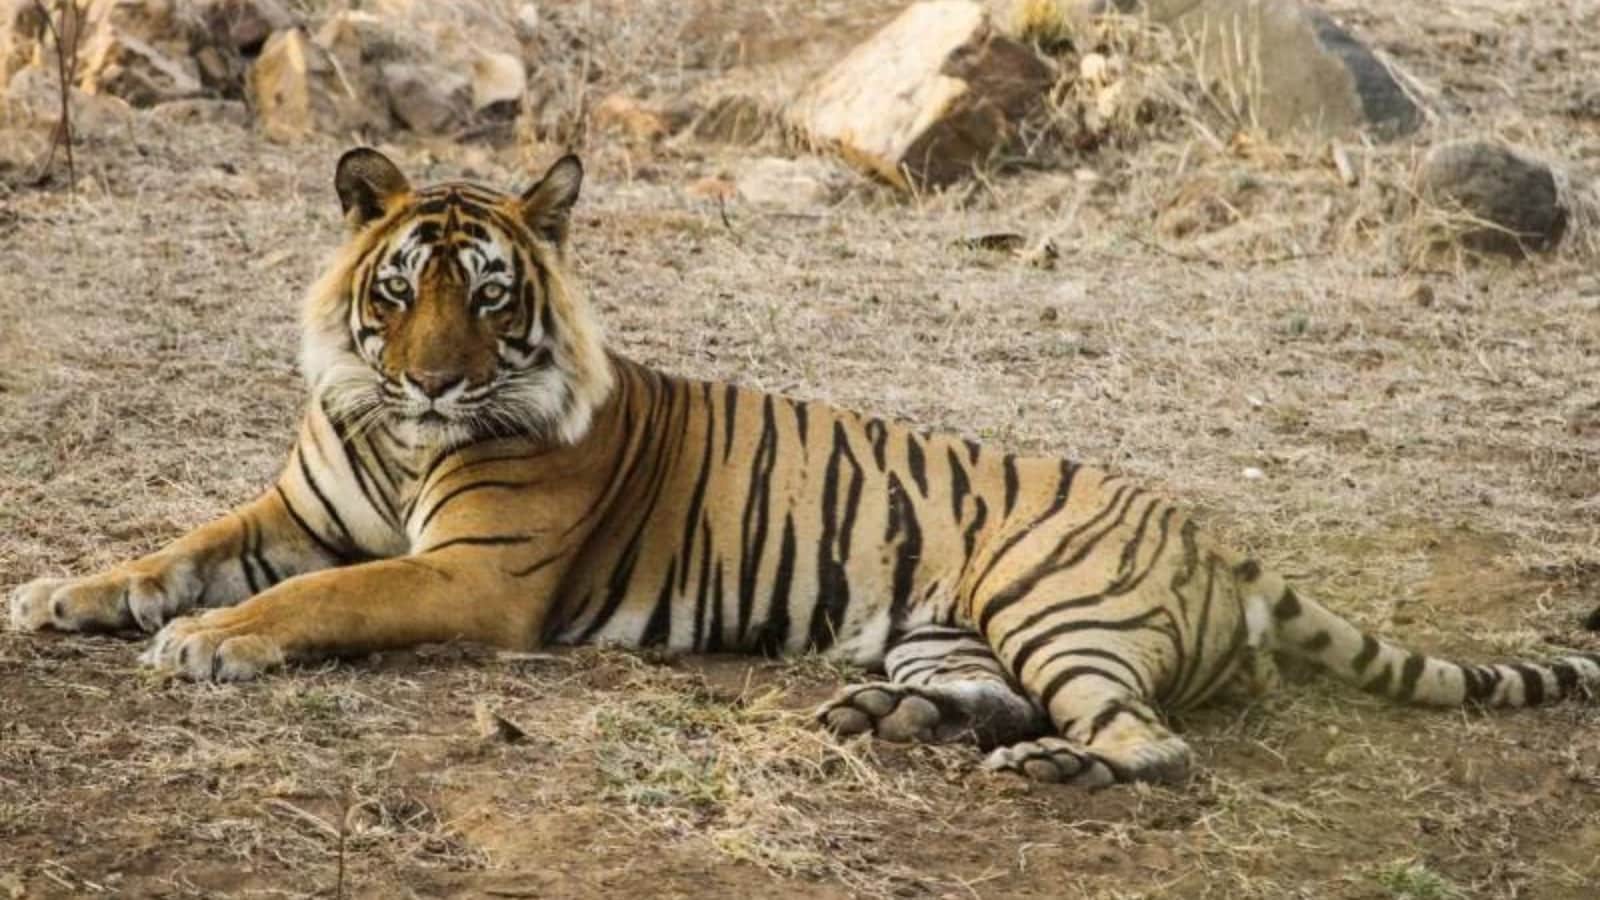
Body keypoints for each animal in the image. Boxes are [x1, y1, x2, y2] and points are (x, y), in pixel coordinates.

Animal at [9, 148, 1600, 788]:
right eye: (401, 292)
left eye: (492, 297)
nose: (438, 378)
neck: (394, 435)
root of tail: (1221, 540)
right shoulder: (293, 509)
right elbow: (171, 549)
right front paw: (56, 594)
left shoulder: (470, 577)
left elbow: (310, 602)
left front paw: (211, 645)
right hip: (952, 626)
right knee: (985, 697)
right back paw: (877, 723)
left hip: (1056, 602)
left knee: (1151, 743)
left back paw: (1050, 770)